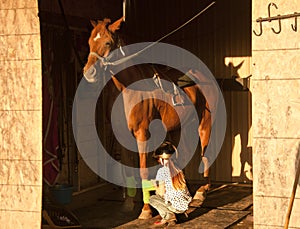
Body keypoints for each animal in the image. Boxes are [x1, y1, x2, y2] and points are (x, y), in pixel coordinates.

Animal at [82, 17, 213, 218]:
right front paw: (128, 204)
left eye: (108, 43)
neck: (127, 90)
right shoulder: (123, 136)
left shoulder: (142, 134)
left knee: (205, 155)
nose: (89, 73)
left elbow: (143, 172)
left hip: (205, 123)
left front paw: (145, 210)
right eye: (90, 42)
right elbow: (128, 172)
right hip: (181, 126)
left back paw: (201, 192)